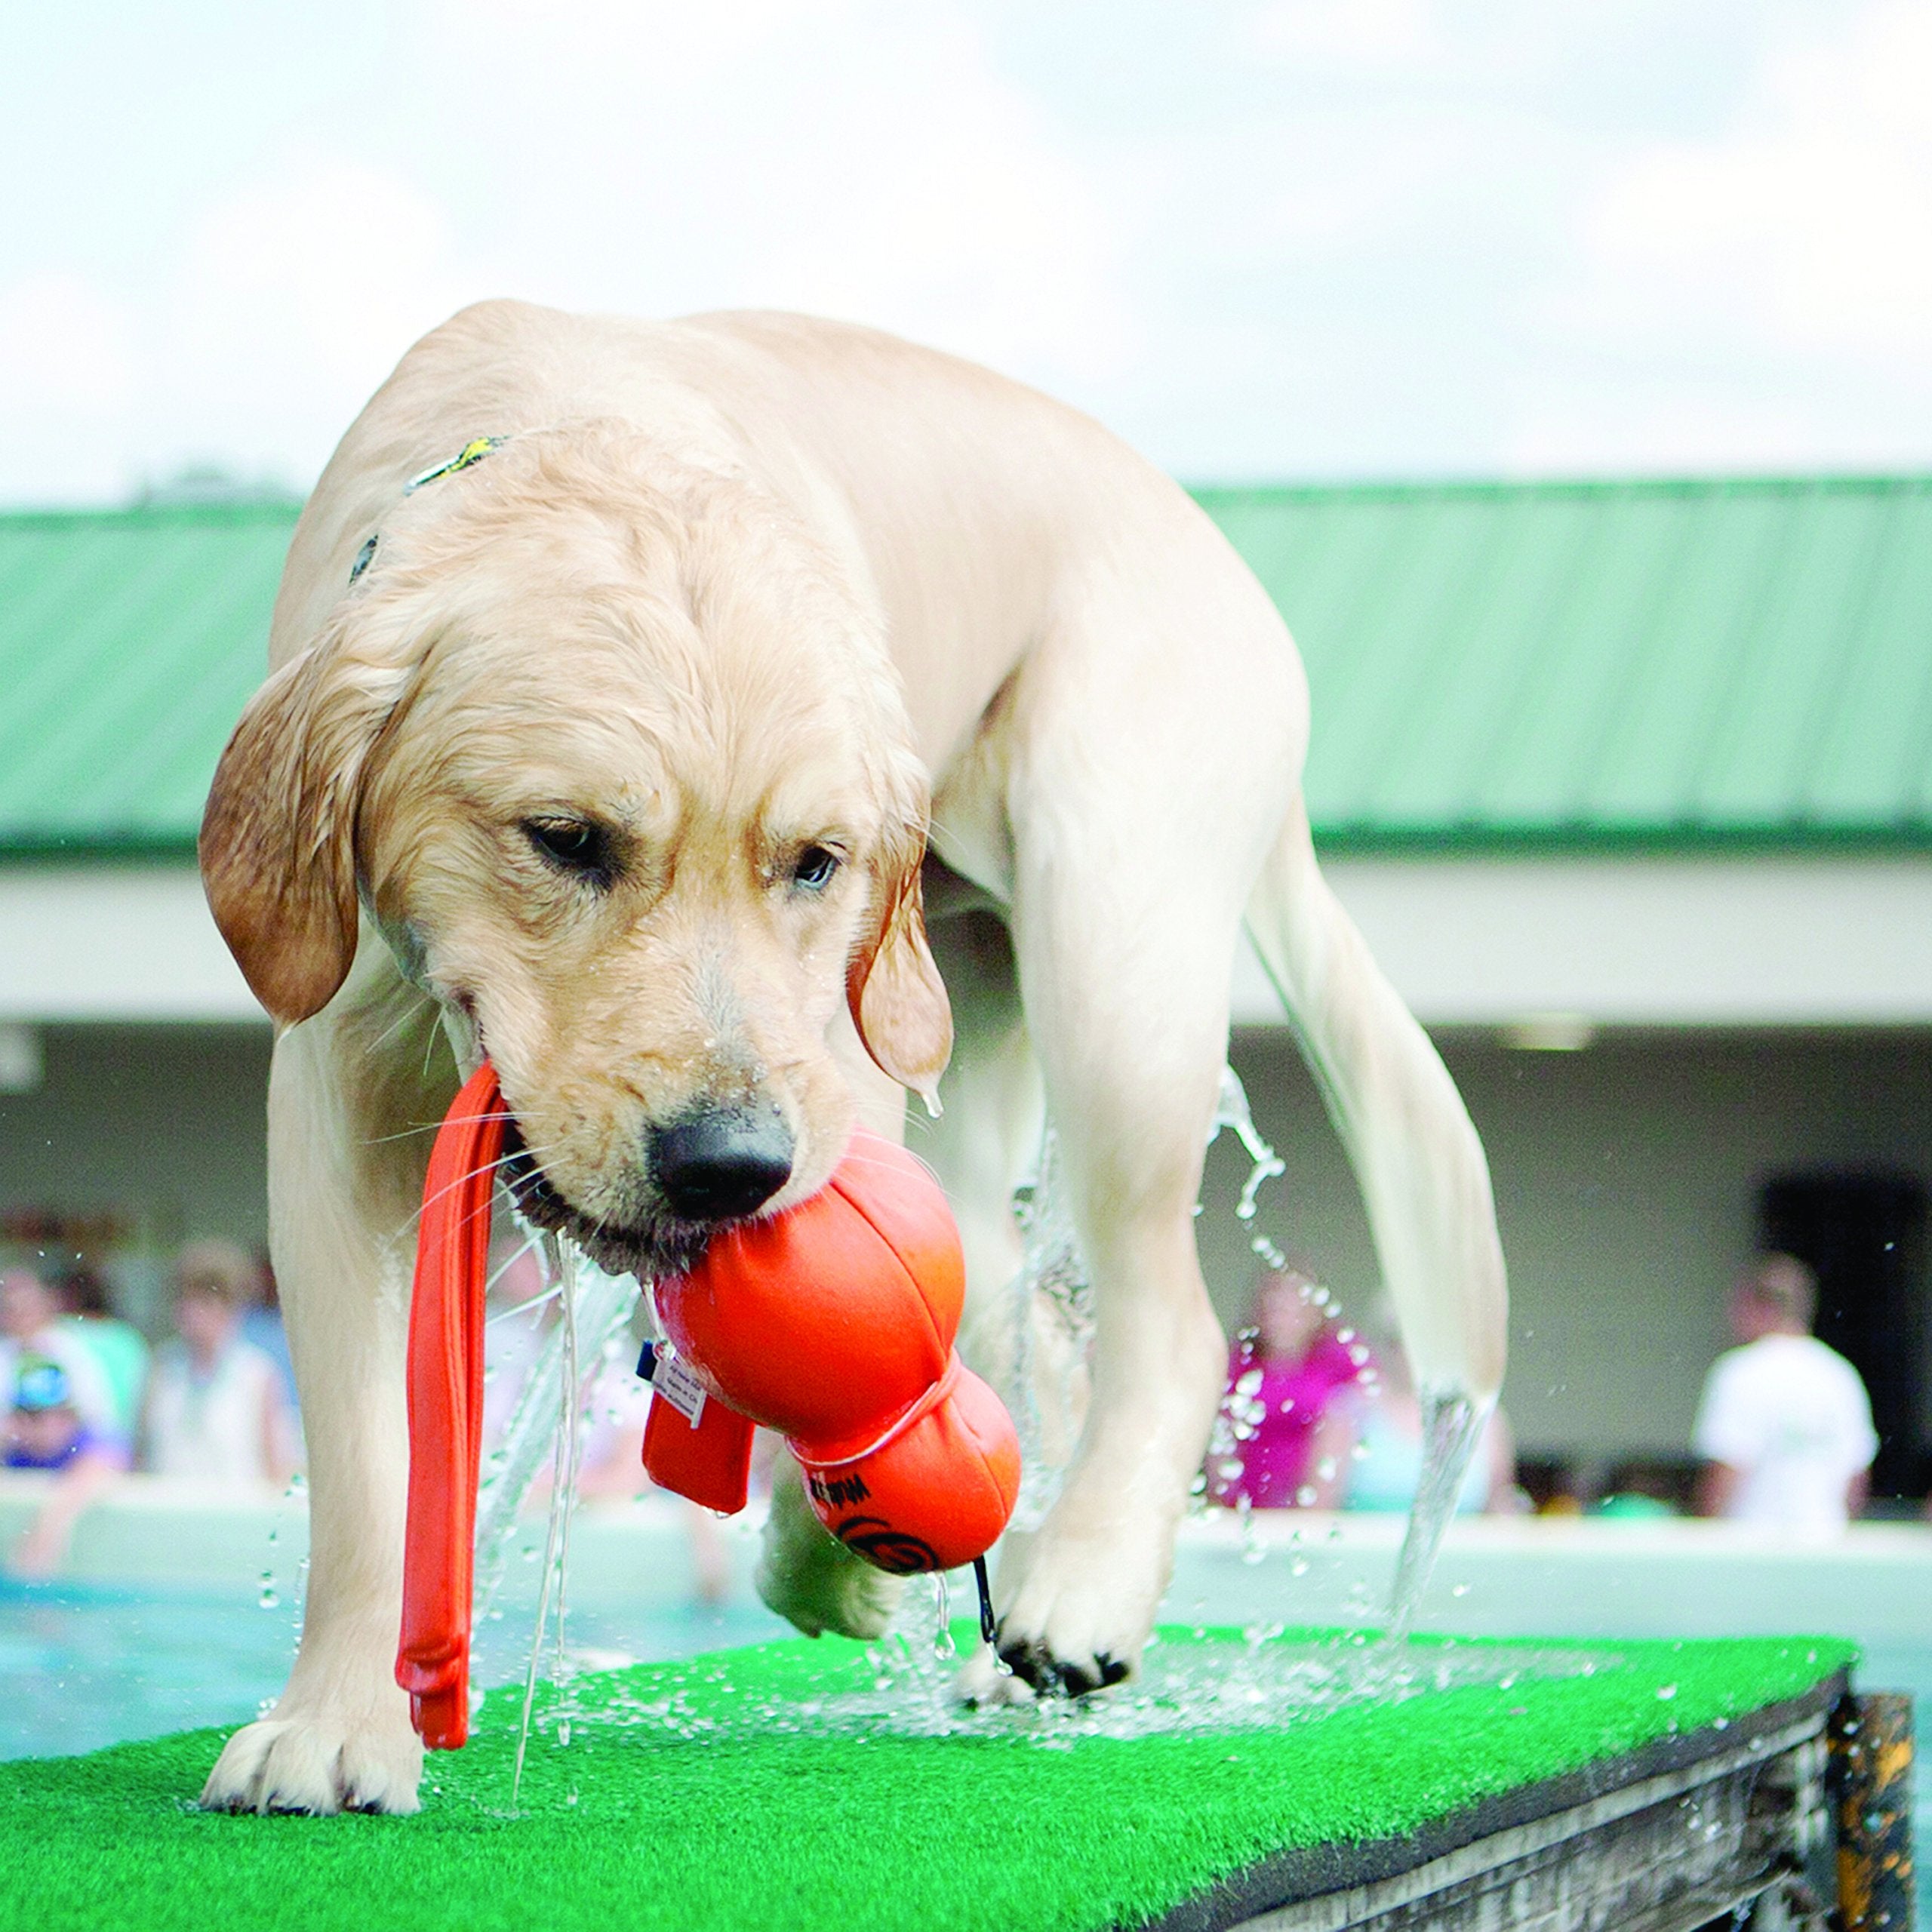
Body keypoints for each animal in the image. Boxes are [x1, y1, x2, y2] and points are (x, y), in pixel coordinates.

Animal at [195, 301, 1506, 1808]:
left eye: (814, 861)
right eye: (565, 838)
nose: (727, 1167)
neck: (571, 424)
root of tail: (1227, 559)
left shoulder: (837, 1067)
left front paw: (838, 1559)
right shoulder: (336, 1077)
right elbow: (366, 1453)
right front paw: (334, 1721)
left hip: (1111, 939)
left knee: (1160, 1315)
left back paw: (1078, 1590)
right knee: (1028, 1316)